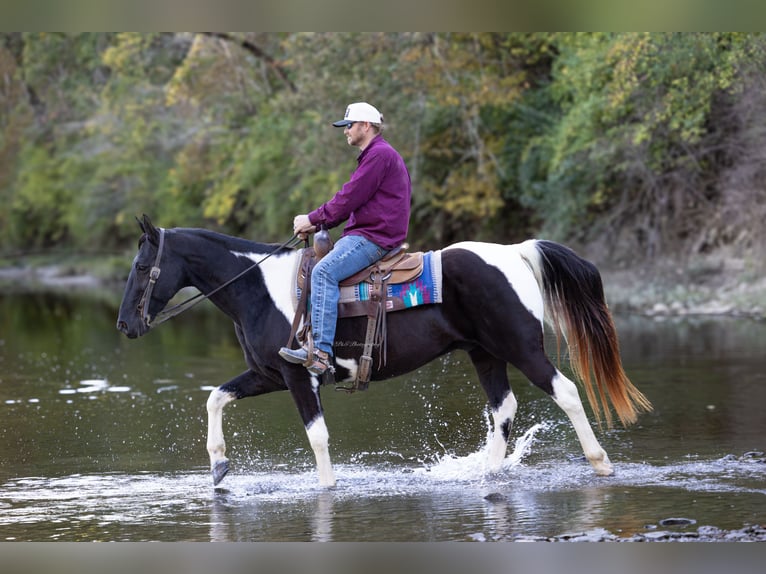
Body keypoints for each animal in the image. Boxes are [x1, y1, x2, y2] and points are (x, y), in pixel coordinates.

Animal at [117, 215, 651, 488]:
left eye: (143, 267)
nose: (125, 325)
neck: (259, 290)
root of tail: (515, 251)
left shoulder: (299, 377)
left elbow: (317, 436)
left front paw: (326, 487)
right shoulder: (268, 375)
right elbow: (215, 397)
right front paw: (219, 465)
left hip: (521, 347)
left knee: (565, 392)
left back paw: (600, 462)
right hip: (485, 353)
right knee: (503, 408)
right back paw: (488, 471)